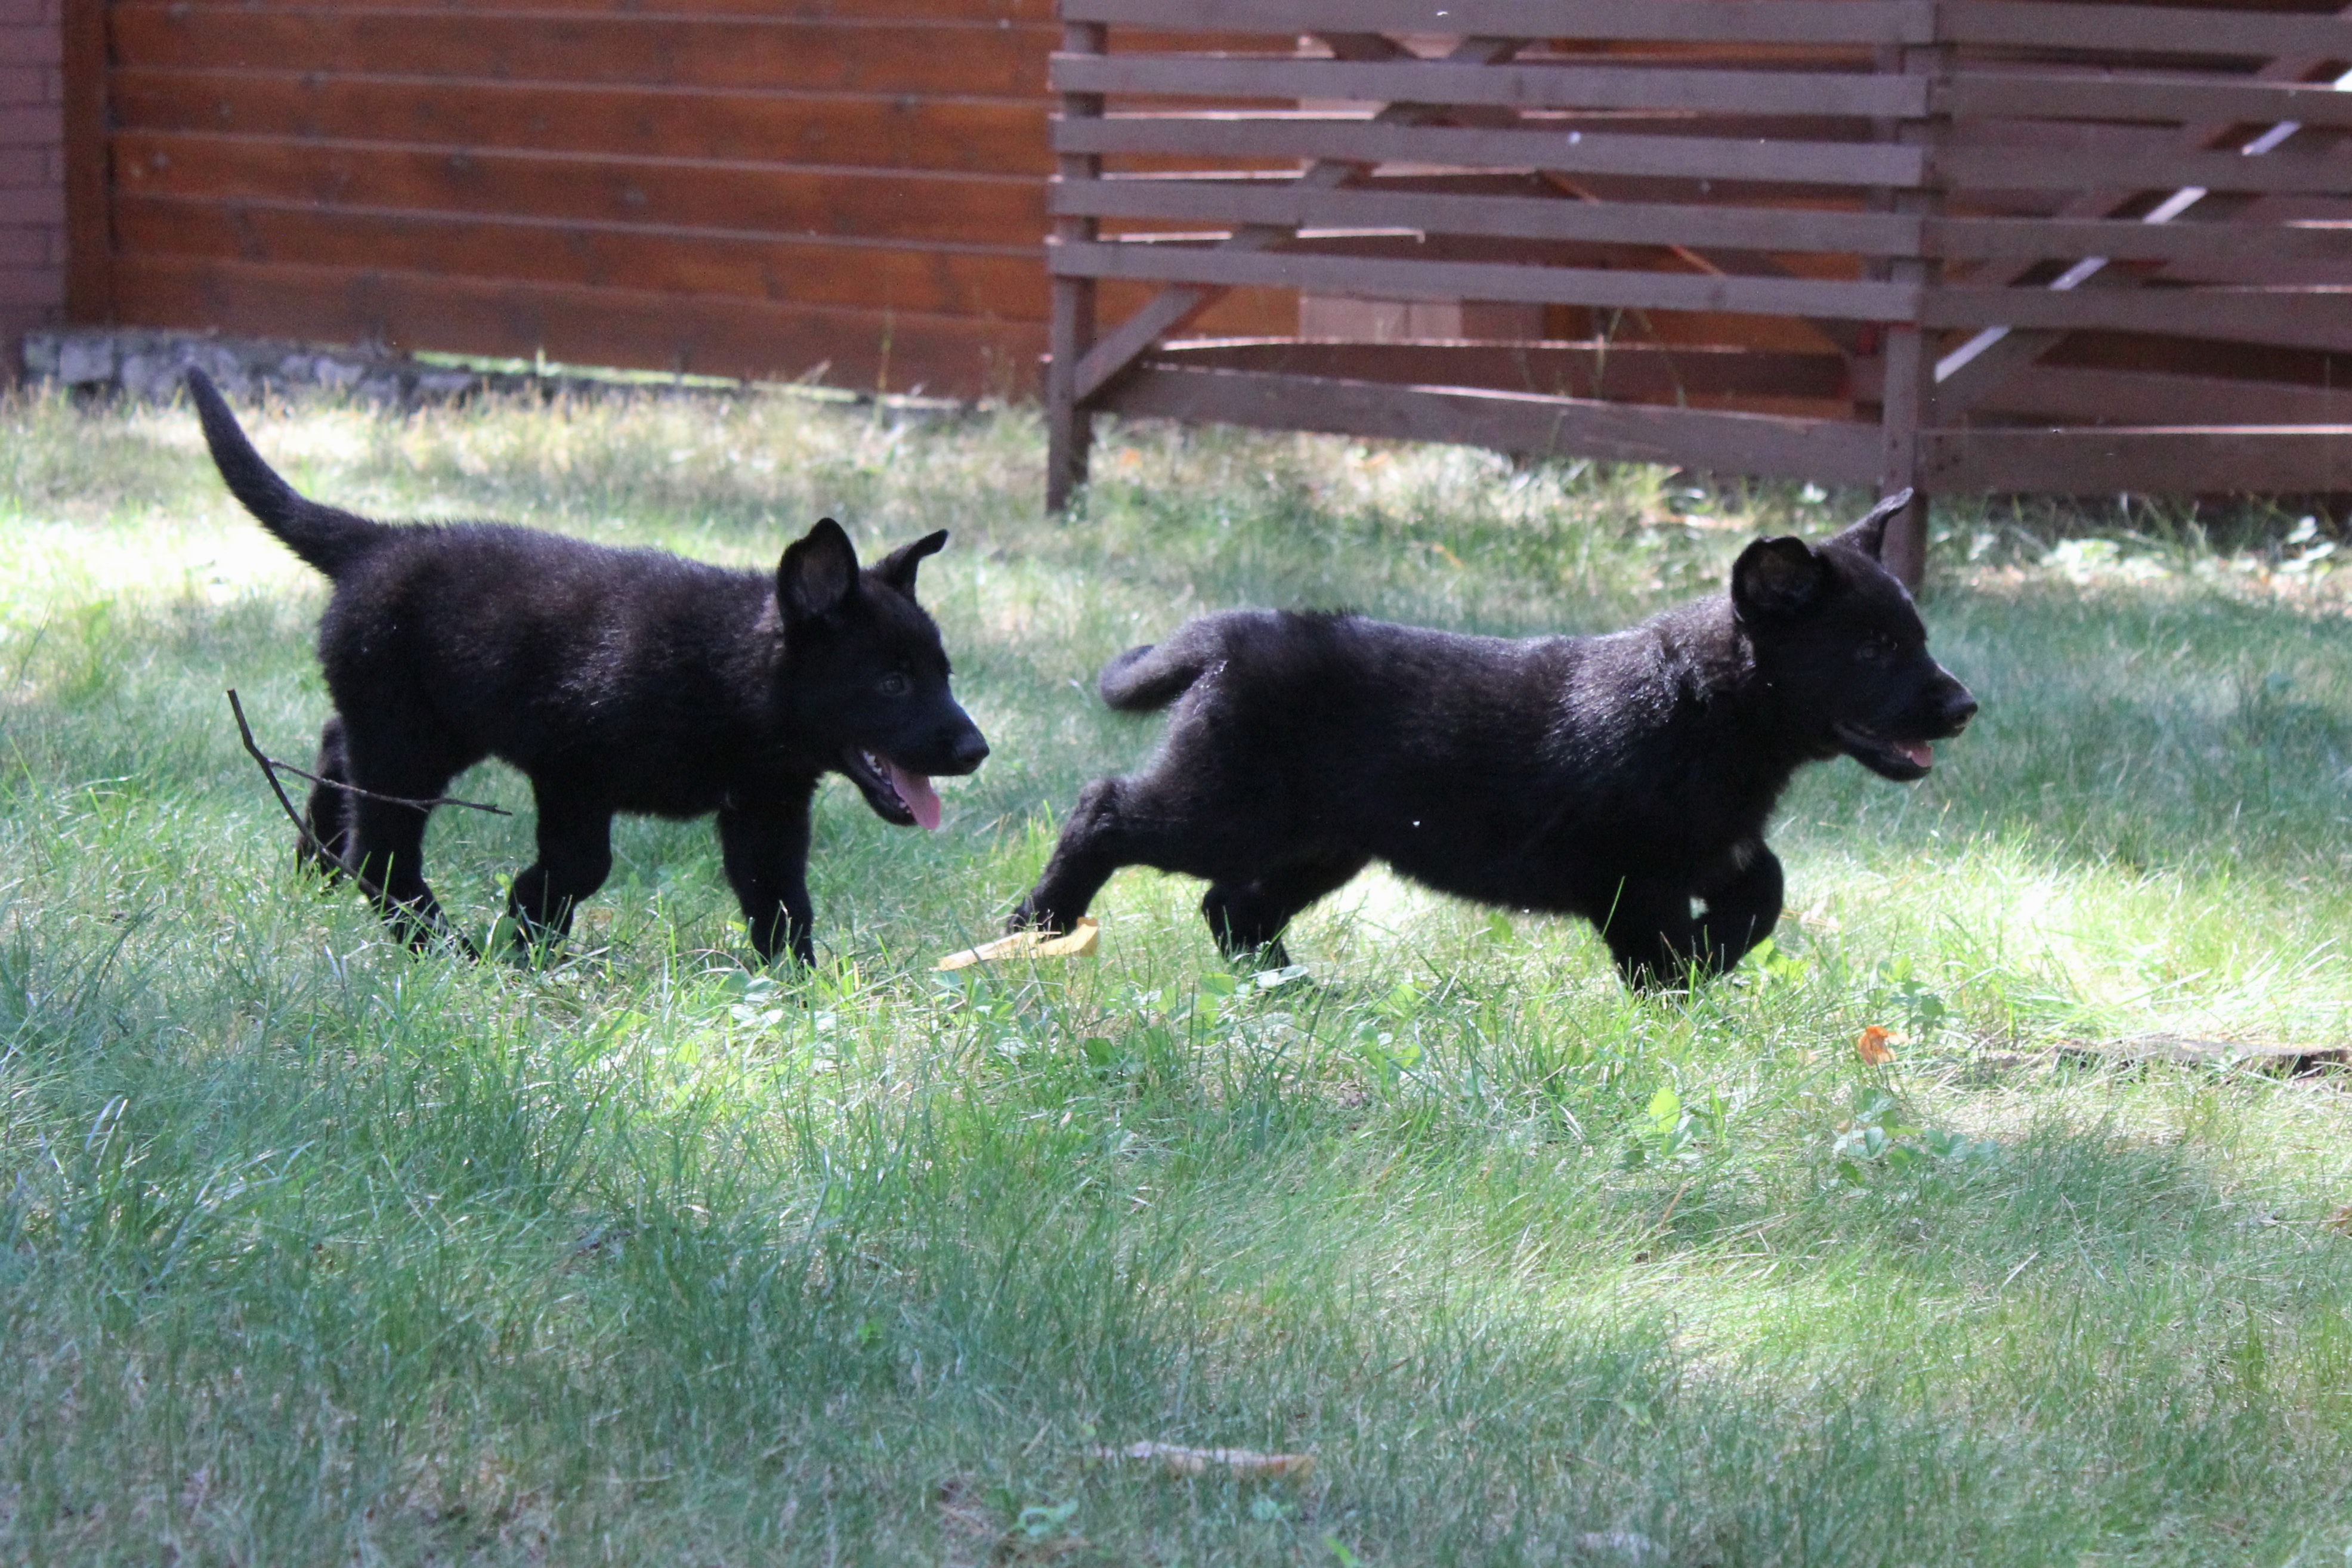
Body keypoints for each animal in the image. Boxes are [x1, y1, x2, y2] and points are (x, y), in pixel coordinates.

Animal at [186, 371, 983, 959]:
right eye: (892, 682)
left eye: (944, 676)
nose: (977, 750)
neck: (730, 678)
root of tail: (379, 543)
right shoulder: (572, 773)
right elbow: (580, 867)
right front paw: (524, 938)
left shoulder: (766, 809)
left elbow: (781, 903)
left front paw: (800, 992)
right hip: (410, 740)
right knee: (381, 853)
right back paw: (442, 949)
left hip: (420, 725)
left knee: (335, 750)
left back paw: (314, 872)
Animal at [1006, 496, 1966, 987]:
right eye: (1871, 649)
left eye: (1915, 638)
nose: (1964, 707)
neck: (1705, 708)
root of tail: (1233, 635)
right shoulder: (1631, 874)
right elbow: (1658, 950)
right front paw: (1684, 988)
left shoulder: (1714, 845)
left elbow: (1766, 886)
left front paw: (1716, 951)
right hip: (1228, 811)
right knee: (1103, 812)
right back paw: (1036, 921)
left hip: (1322, 843)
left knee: (1230, 908)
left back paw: (1290, 989)